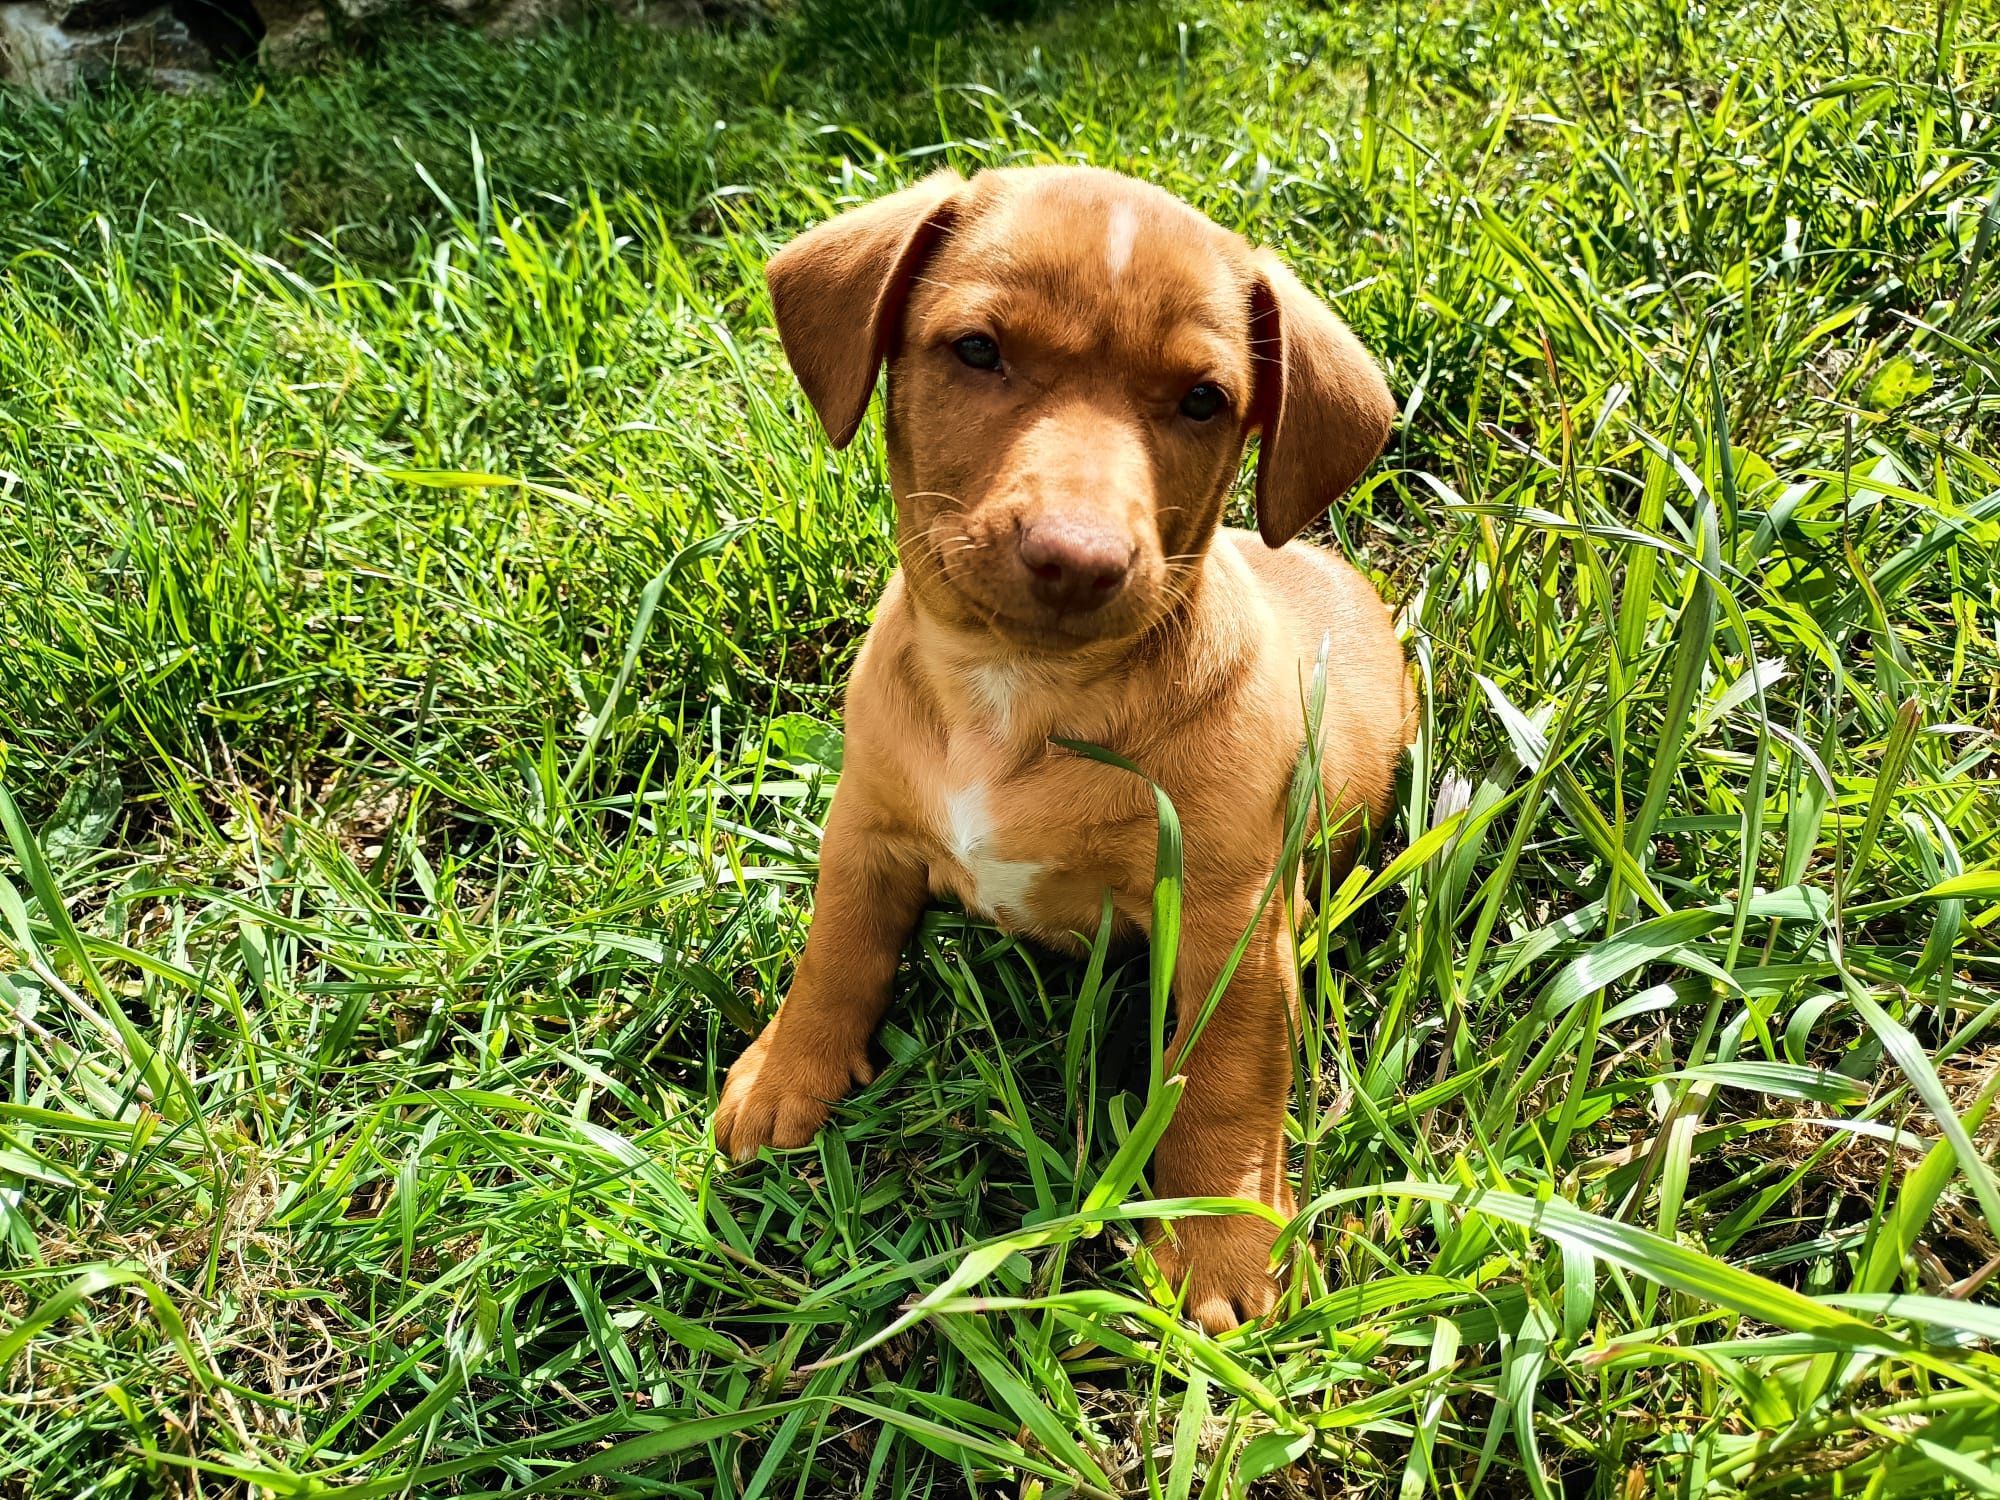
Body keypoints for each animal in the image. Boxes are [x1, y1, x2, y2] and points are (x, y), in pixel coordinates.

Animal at [720, 167, 1408, 1336]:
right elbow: (835, 950)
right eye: (977, 350)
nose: (1077, 557)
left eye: (1203, 401)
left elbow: (1223, 1070)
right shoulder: (864, 825)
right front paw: (787, 1071)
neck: (1013, 691)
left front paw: (1217, 1237)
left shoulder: (1232, 917)